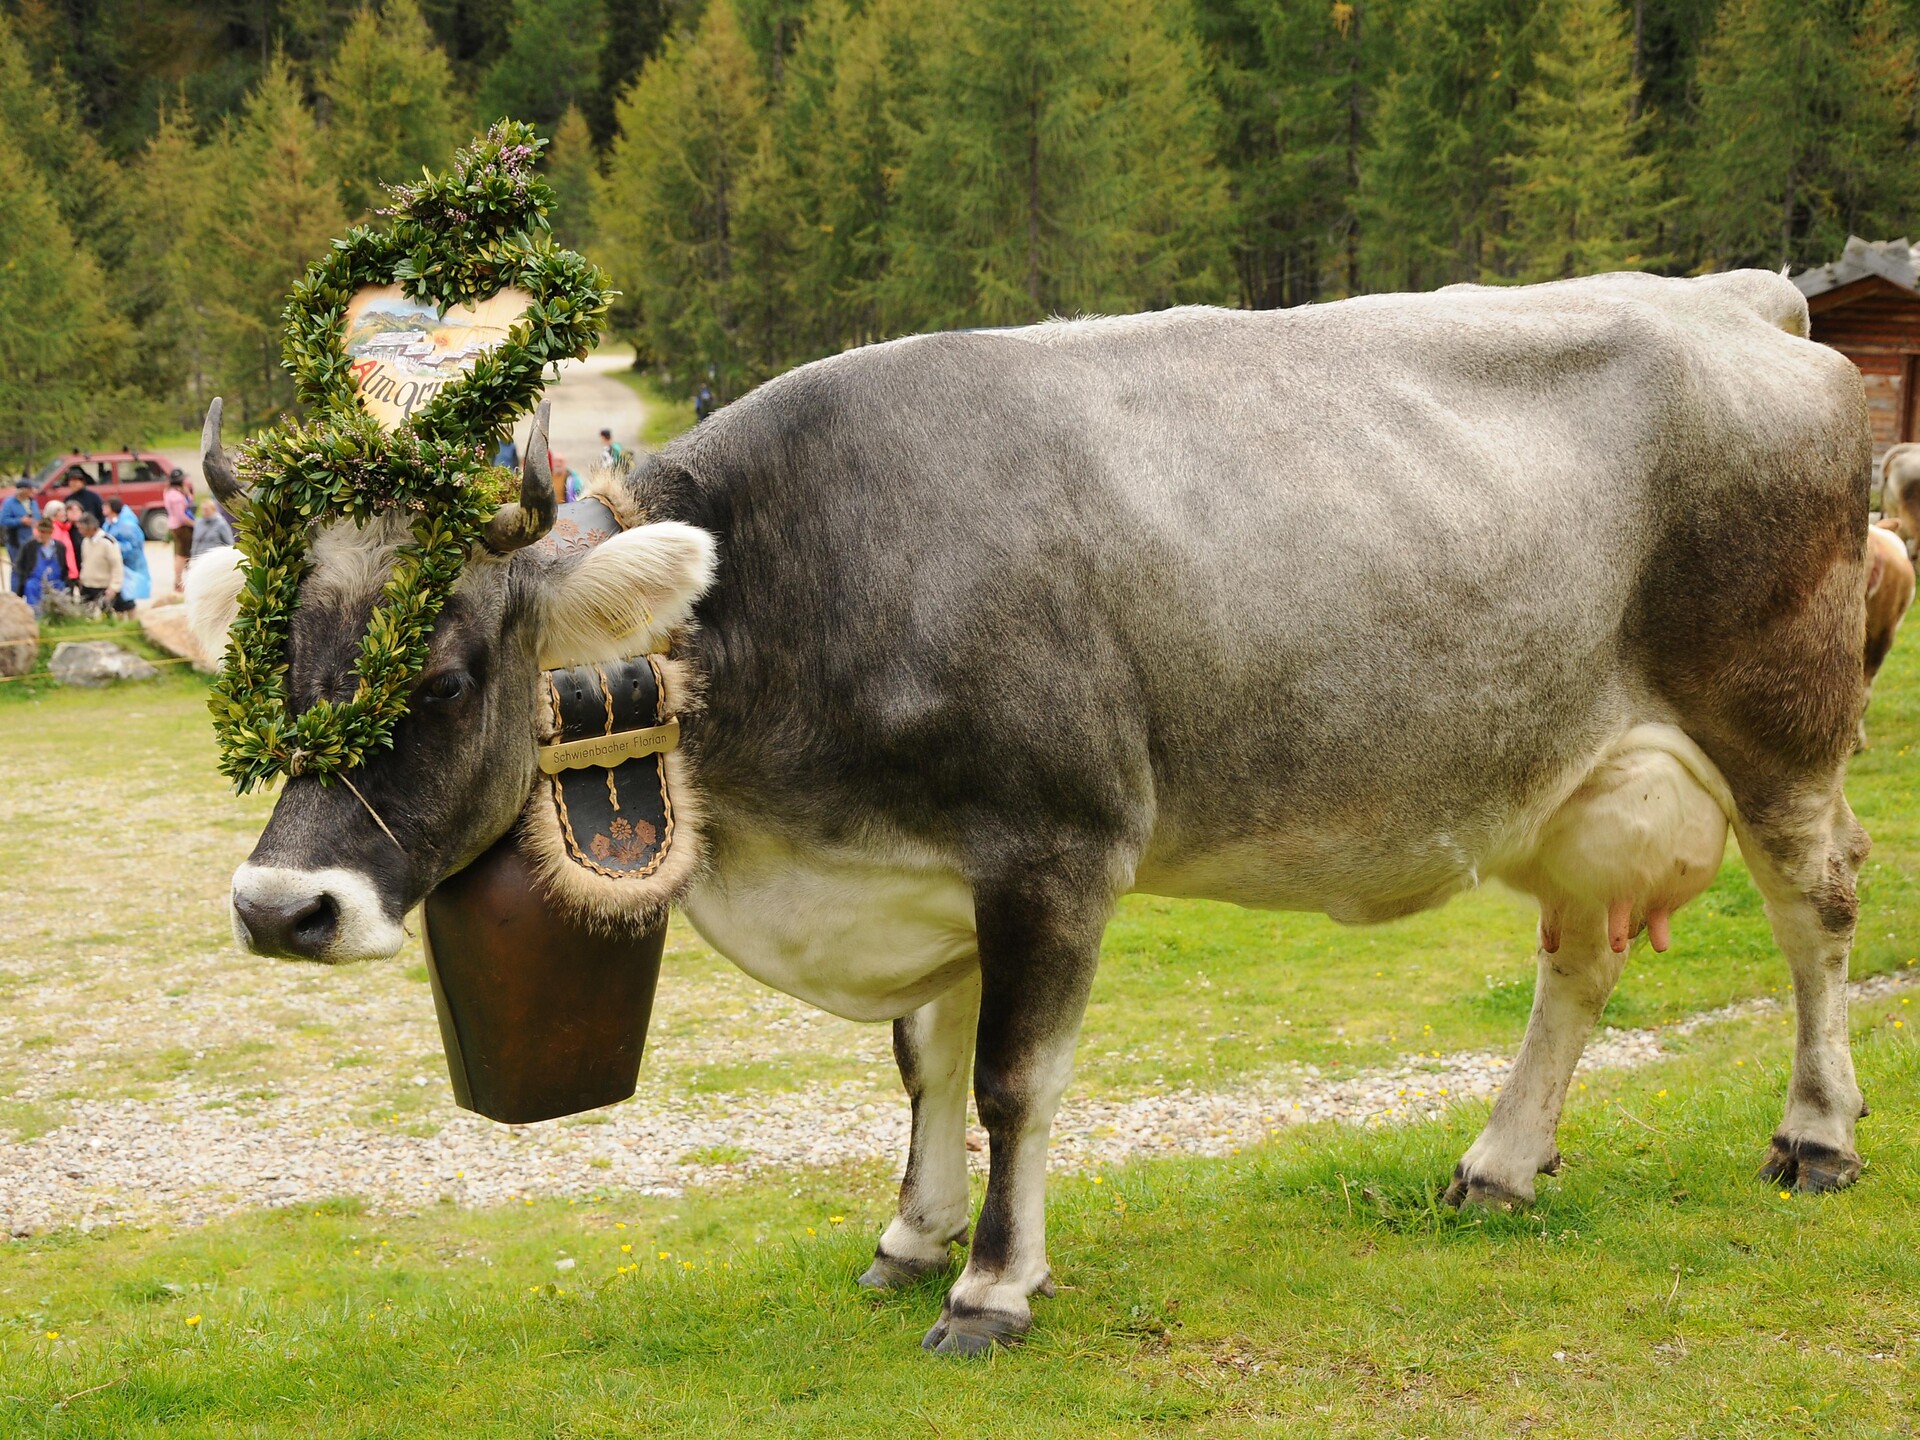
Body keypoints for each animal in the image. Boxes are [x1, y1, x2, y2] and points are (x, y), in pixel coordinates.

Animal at [187, 269, 1874, 1355]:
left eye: (452, 673)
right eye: (284, 662)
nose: (279, 909)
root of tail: (1744, 301)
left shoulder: (1057, 847)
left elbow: (1012, 1076)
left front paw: (992, 1288)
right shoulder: (929, 869)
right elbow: (923, 1065)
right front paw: (911, 1234)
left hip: (1776, 724)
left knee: (1819, 908)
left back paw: (1815, 1136)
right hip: (1568, 774)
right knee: (1580, 961)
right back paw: (1502, 1161)